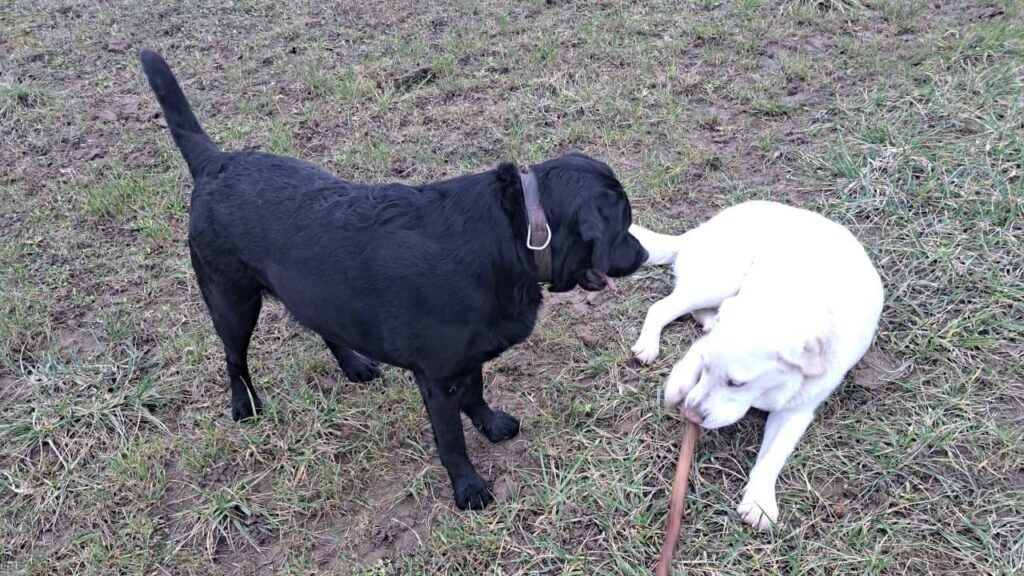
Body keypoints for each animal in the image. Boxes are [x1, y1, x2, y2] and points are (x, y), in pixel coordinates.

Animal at [140, 49, 643, 506]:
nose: (642, 254)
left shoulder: (465, 357)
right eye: (623, 224)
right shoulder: (437, 376)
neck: (515, 231)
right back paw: (244, 405)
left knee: (323, 325)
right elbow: (451, 438)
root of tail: (214, 162)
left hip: (313, 293)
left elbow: (476, 392)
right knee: (234, 357)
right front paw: (468, 488)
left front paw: (490, 423)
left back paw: (353, 365)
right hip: (232, 300)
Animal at [626, 199, 884, 528]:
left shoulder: (797, 411)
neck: (794, 298)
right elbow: (695, 353)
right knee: (664, 309)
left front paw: (759, 501)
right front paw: (680, 383)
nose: (691, 415)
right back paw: (652, 347)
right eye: (708, 371)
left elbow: (773, 456)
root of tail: (702, 228)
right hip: (720, 281)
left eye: (737, 383)